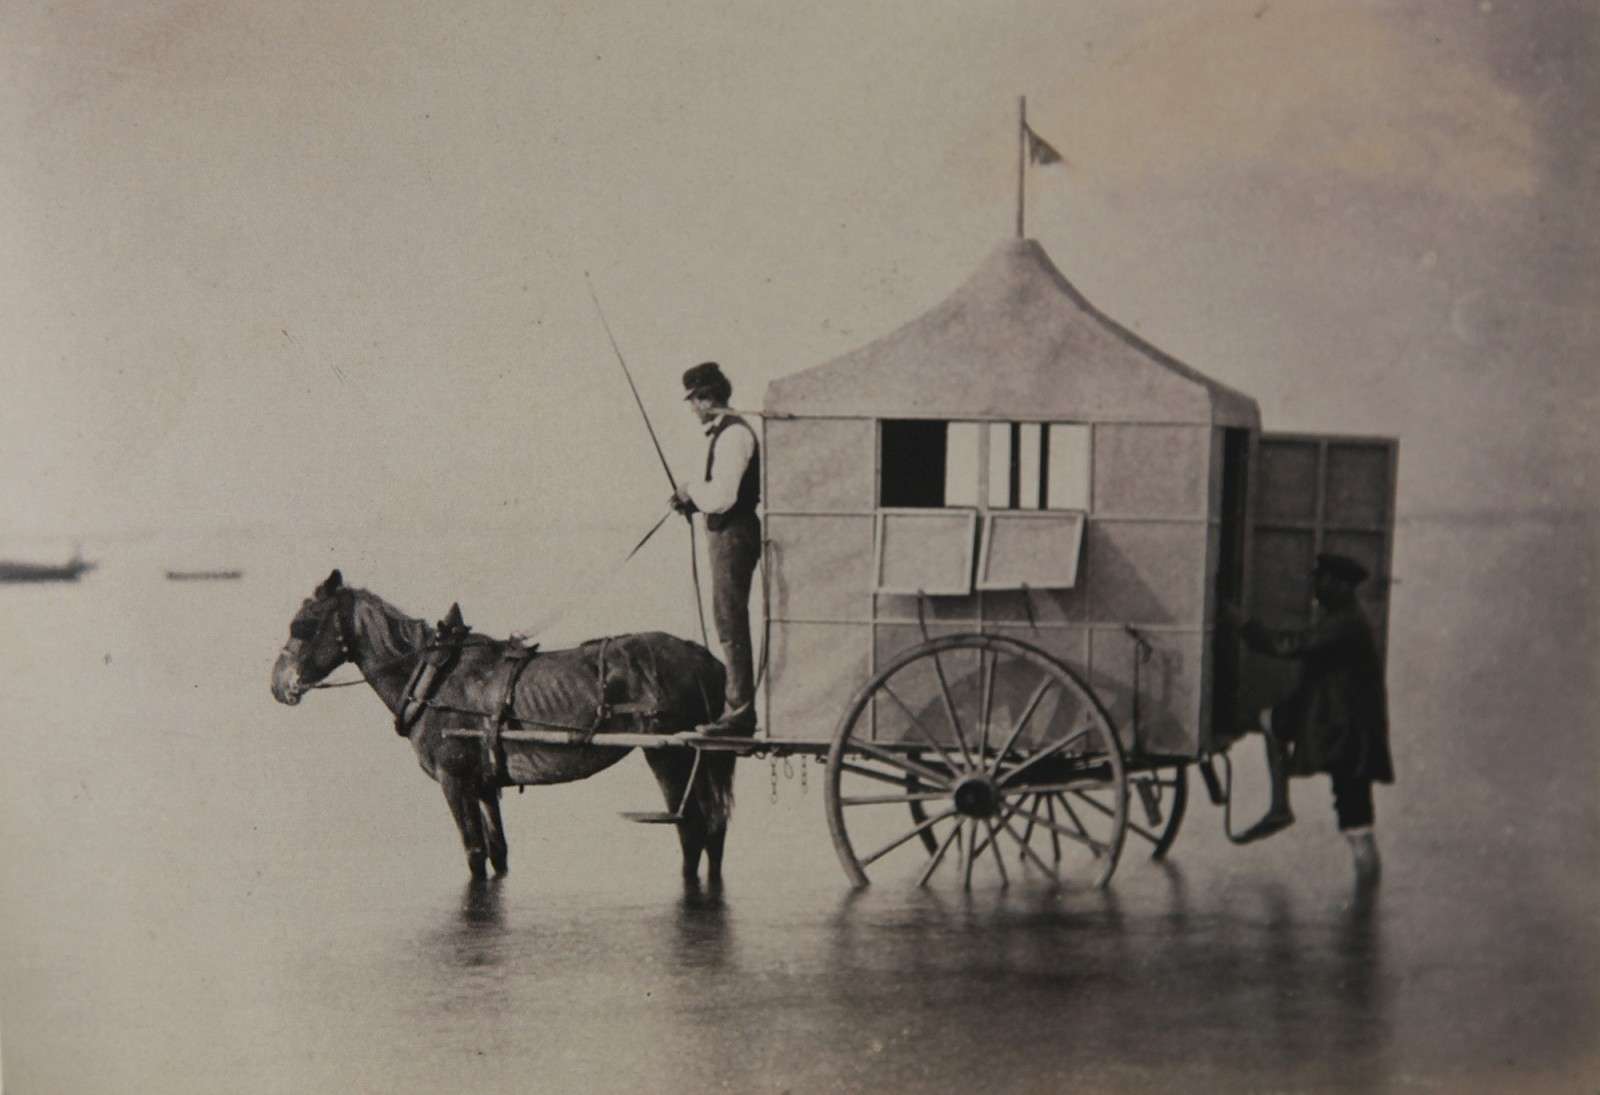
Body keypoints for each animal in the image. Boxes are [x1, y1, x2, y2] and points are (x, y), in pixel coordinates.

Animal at [270, 569, 736, 883]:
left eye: (303, 626)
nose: (278, 685)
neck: (434, 676)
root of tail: (708, 661)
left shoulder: (454, 780)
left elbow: (474, 853)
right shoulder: (484, 784)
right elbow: (499, 852)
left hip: (671, 757)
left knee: (693, 829)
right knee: (714, 829)